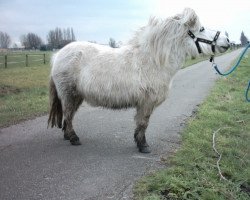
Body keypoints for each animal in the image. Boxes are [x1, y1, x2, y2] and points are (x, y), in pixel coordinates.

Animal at [47, 7, 229, 152]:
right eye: (201, 28)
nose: (227, 40)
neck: (153, 61)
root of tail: (58, 55)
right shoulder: (146, 103)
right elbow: (143, 123)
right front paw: (143, 145)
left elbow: (140, 124)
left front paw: (139, 141)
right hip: (69, 94)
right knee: (68, 114)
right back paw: (73, 138)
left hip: (76, 96)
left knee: (68, 116)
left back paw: (68, 136)